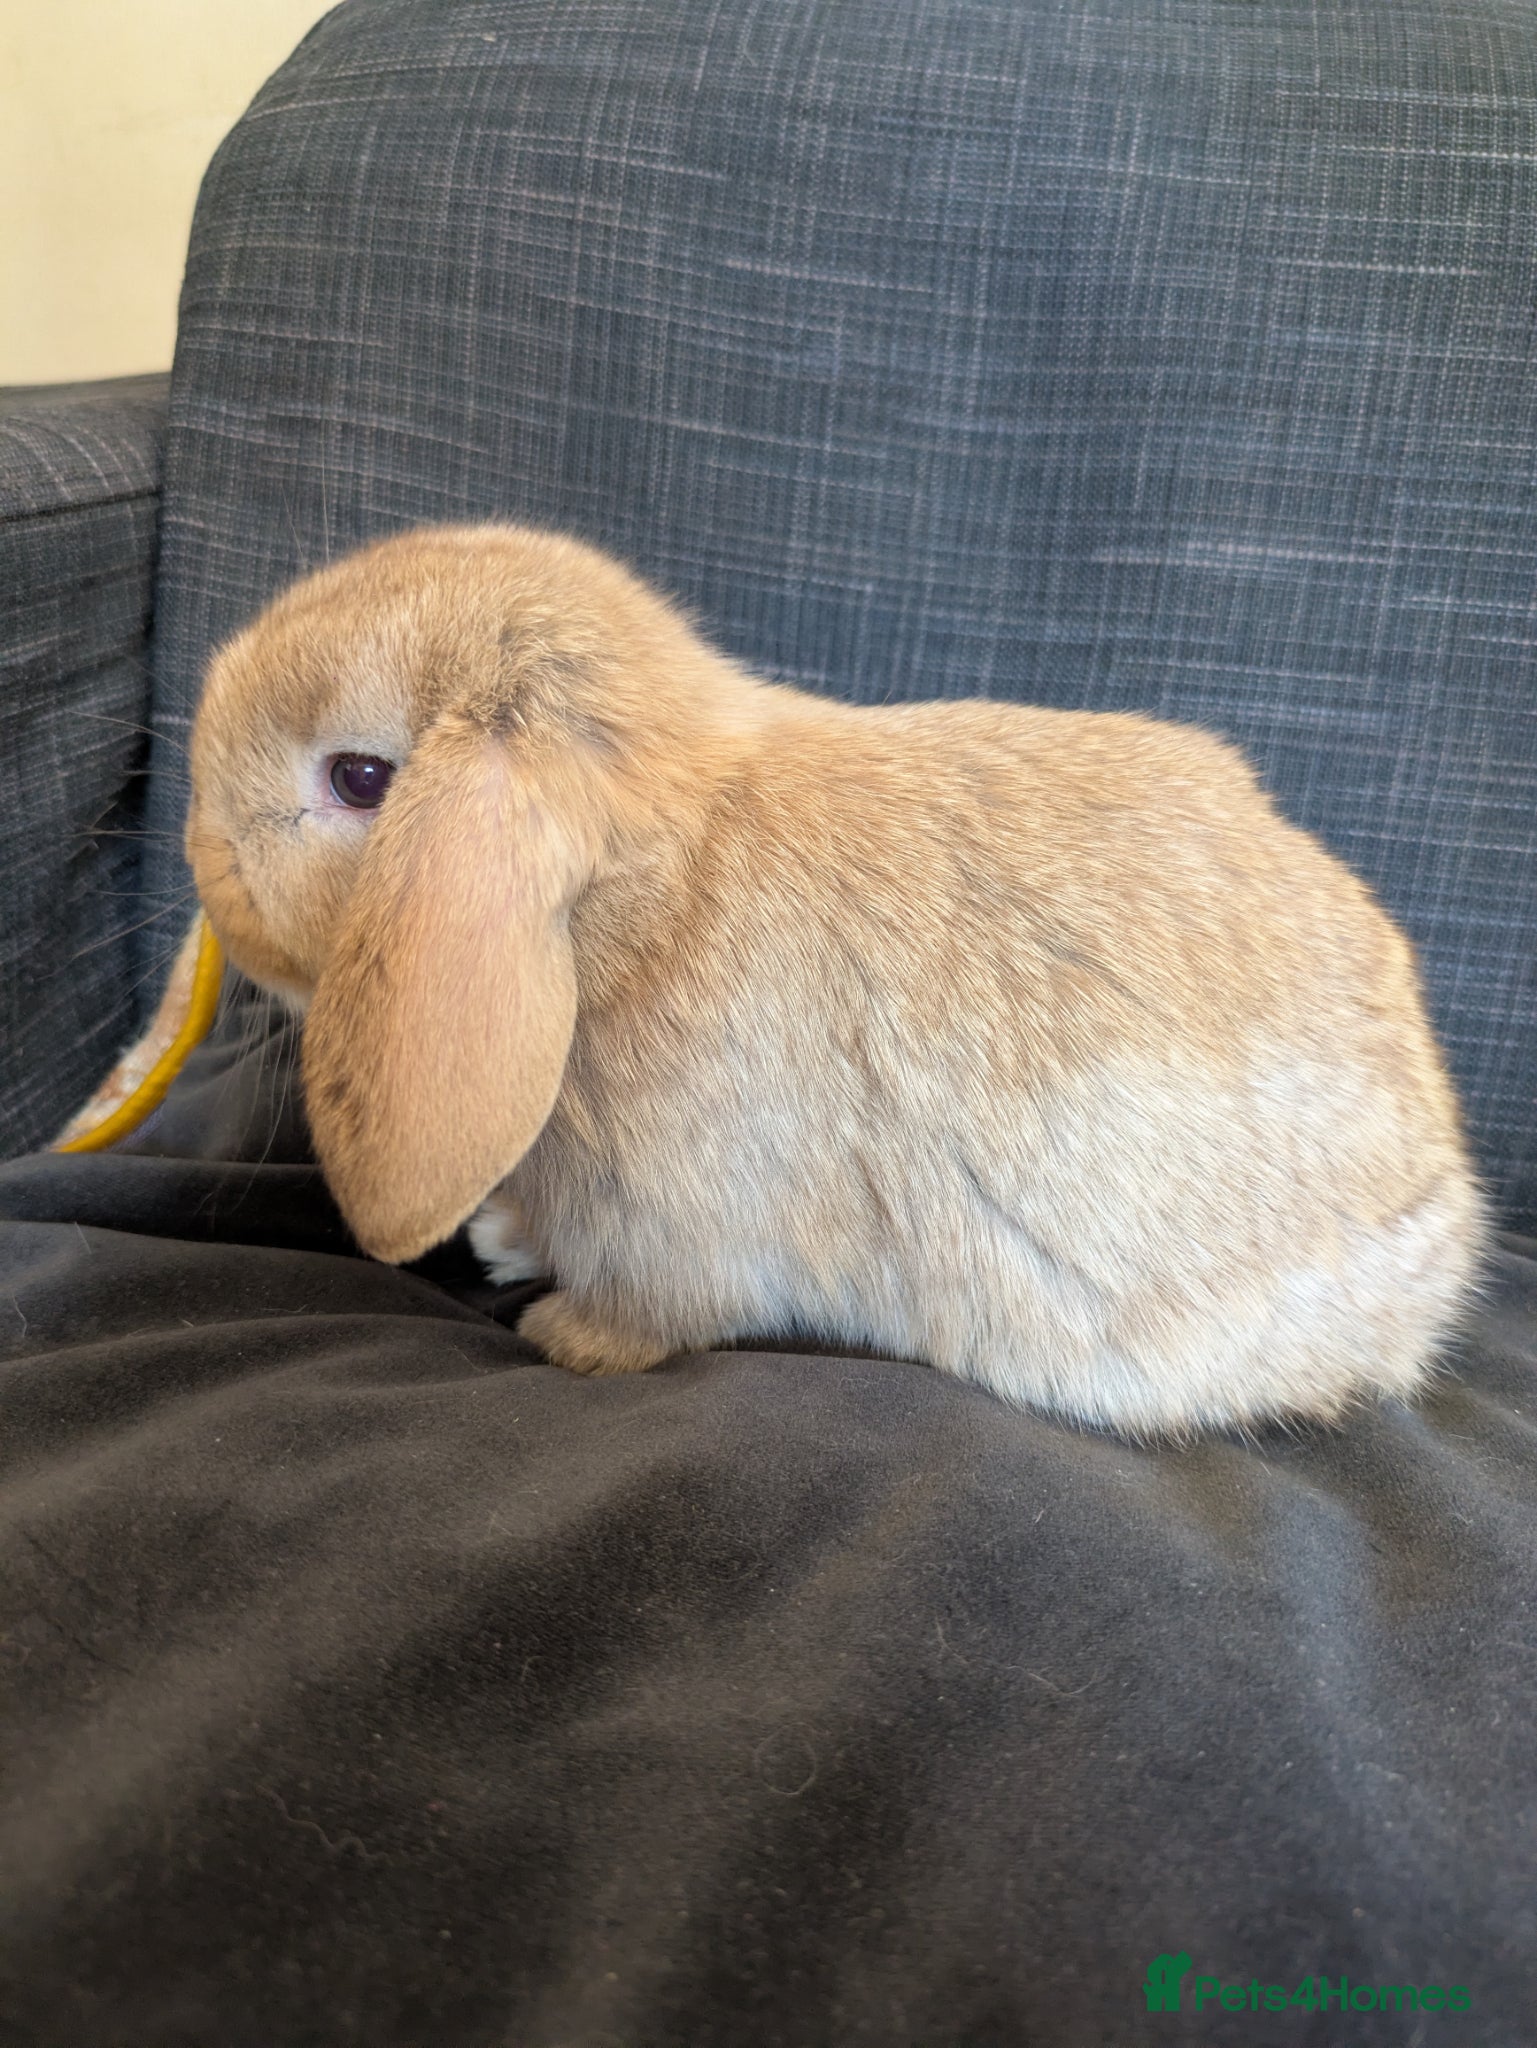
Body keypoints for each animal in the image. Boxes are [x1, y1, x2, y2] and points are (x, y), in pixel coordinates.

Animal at [185, 522, 1487, 1438]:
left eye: (359, 779)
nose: (199, 854)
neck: (640, 905)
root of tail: (1448, 1213)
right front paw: (507, 1245)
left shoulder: (671, 1225)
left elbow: (650, 1313)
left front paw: (560, 1336)